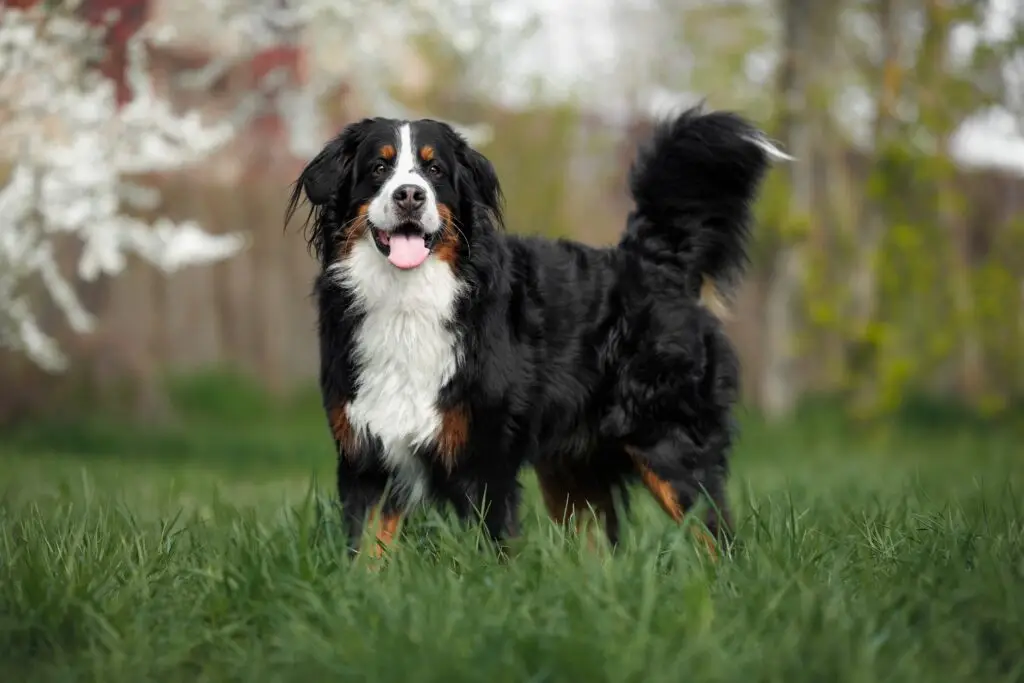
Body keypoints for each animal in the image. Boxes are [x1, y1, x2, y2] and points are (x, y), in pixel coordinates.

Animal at [284, 105, 786, 557]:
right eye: (379, 167)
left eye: (434, 169)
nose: (410, 194)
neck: (408, 301)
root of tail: (654, 262)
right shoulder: (367, 456)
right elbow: (363, 554)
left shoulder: (485, 462)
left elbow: (492, 556)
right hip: (573, 470)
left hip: (669, 447)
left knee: (716, 539)